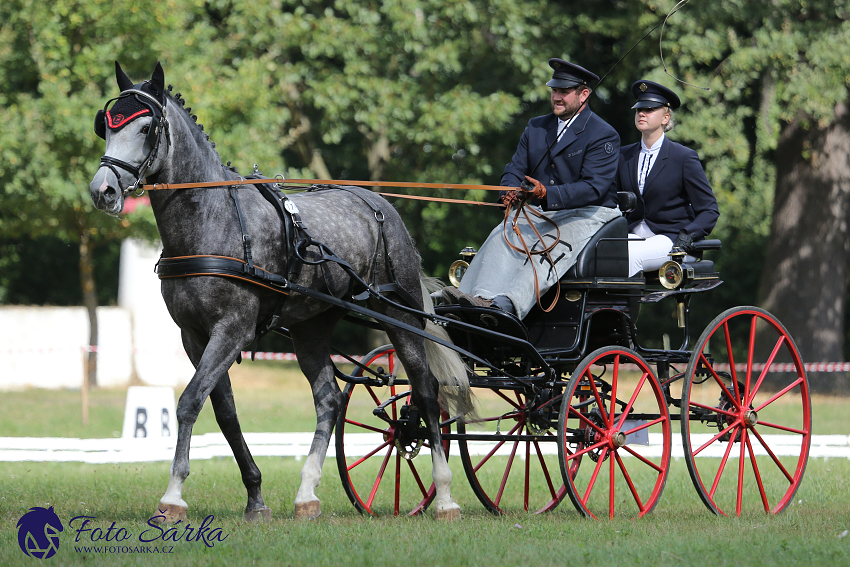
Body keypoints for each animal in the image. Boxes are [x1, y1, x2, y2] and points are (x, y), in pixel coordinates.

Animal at [89, 62, 474, 524]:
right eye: (106, 126)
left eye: (146, 127)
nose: (103, 191)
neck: (213, 220)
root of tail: (382, 206)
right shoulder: (194, 336)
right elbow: (224, 411)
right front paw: (255, 496)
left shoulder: (232, 329)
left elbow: (189, 402)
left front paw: (174, 497)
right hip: (311, 328)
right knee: (328, 399)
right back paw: (307, 493)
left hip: (399, 317)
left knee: (427, 392)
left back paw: (446, 496)